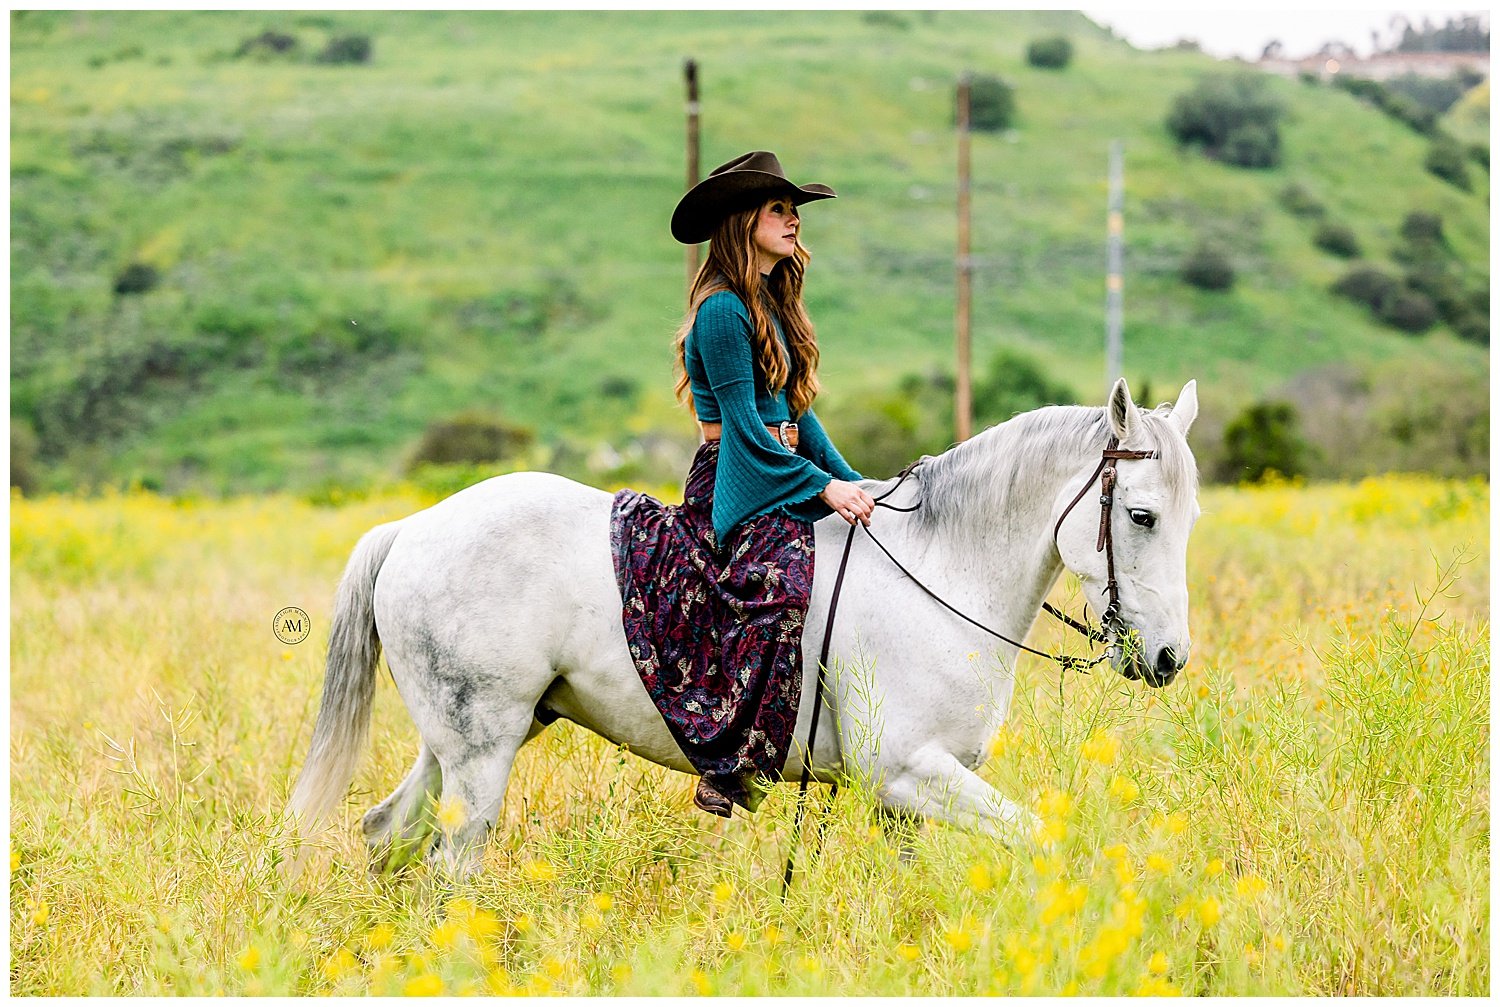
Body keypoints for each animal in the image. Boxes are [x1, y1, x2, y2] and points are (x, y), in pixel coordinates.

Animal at [289, 378, 1206, 876]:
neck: (943, 571)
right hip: (482, 750)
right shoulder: (910, 772)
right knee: (453, 860)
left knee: (388, 831)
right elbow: (1040, 837)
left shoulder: (908, 801)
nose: (1168, 659)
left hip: (463, 739)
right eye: (1142, 515)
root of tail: (412, 527)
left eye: (1189, 518)